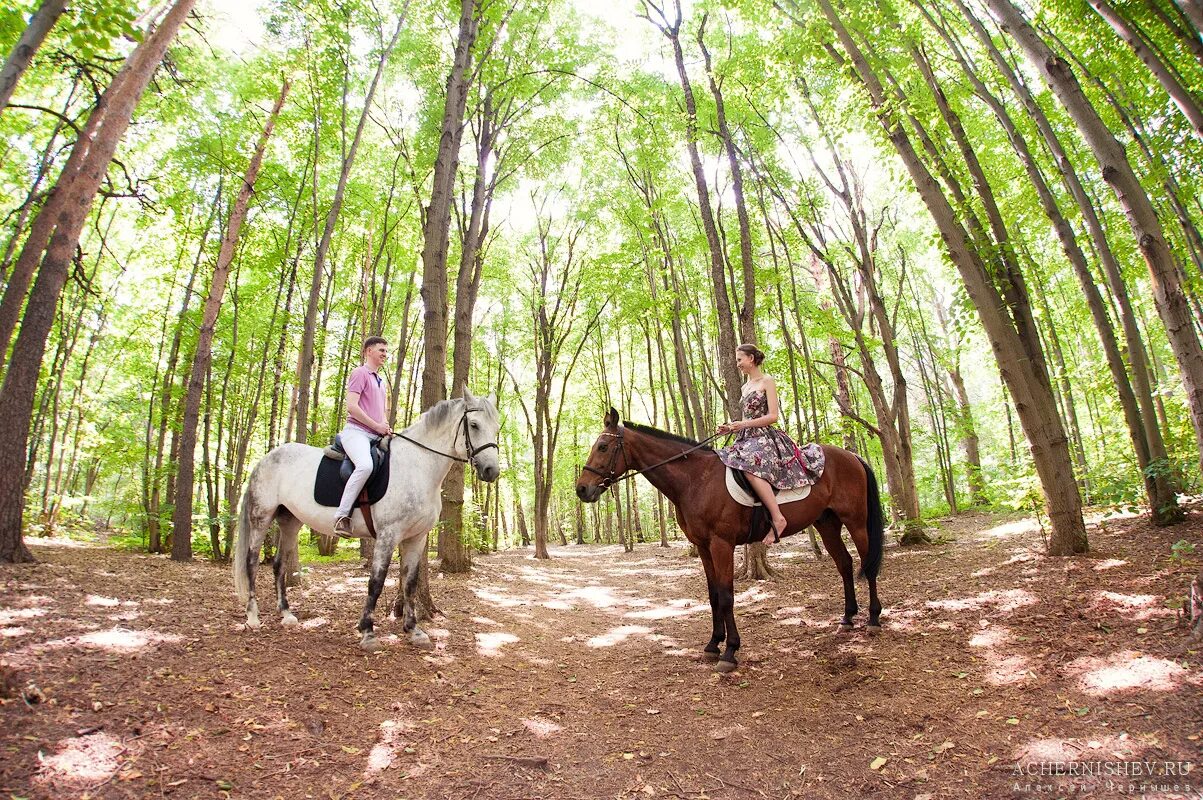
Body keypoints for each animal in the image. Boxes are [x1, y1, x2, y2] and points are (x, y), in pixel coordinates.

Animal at [232, 392, 500, 649]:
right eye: (474, 425)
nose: (491, 471)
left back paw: (286, 614)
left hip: (290, 521)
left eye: (496, 427)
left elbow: (410, 583)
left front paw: (414, 630)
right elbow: (376, 582)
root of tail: (266, 458)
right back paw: (253, 617)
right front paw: (368, 631)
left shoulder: (417, 538)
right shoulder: (387, 536)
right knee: (251, 562)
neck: (417, 466)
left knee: (279, 564)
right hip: (261, 517)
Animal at [572, 409, 885, 668]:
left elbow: (726, 595)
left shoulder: (721, 544)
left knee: (868, 565)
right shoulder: (703, 547)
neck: (695, 479)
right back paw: (848, 618)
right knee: (845, 564)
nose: (582, 489)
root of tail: (852, 456)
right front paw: (713, 644)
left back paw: (873, 618)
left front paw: (730, 651)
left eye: (603, 446)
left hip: (855, 521)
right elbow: (712, 596)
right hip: (827, 524)